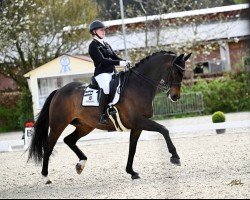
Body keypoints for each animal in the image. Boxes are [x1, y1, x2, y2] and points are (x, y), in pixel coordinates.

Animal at [27, 50, 191, 184]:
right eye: (176, 72)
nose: (175, 97)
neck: (138, 86)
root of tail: (59, 90)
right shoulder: (140, 121)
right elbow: (164, 129)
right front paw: (175, 157)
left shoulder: (137, 126)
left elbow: (132, 148)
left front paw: (132, 172)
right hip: (58, 124)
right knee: (49, 145)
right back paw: (46, 177)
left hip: (85, 126)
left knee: (69, 140)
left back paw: (81, 164)